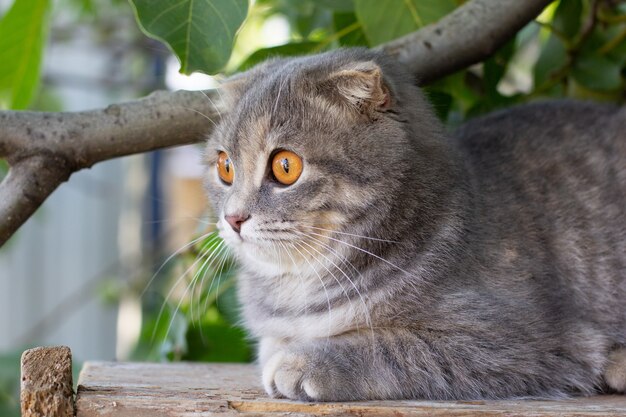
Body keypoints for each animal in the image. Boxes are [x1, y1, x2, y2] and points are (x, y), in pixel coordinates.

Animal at [204, 48, 624, 400]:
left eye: (285, 166)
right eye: (226, 167)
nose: (233, 217)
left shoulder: (525, 340)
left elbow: (393, 346)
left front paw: (306, 361)